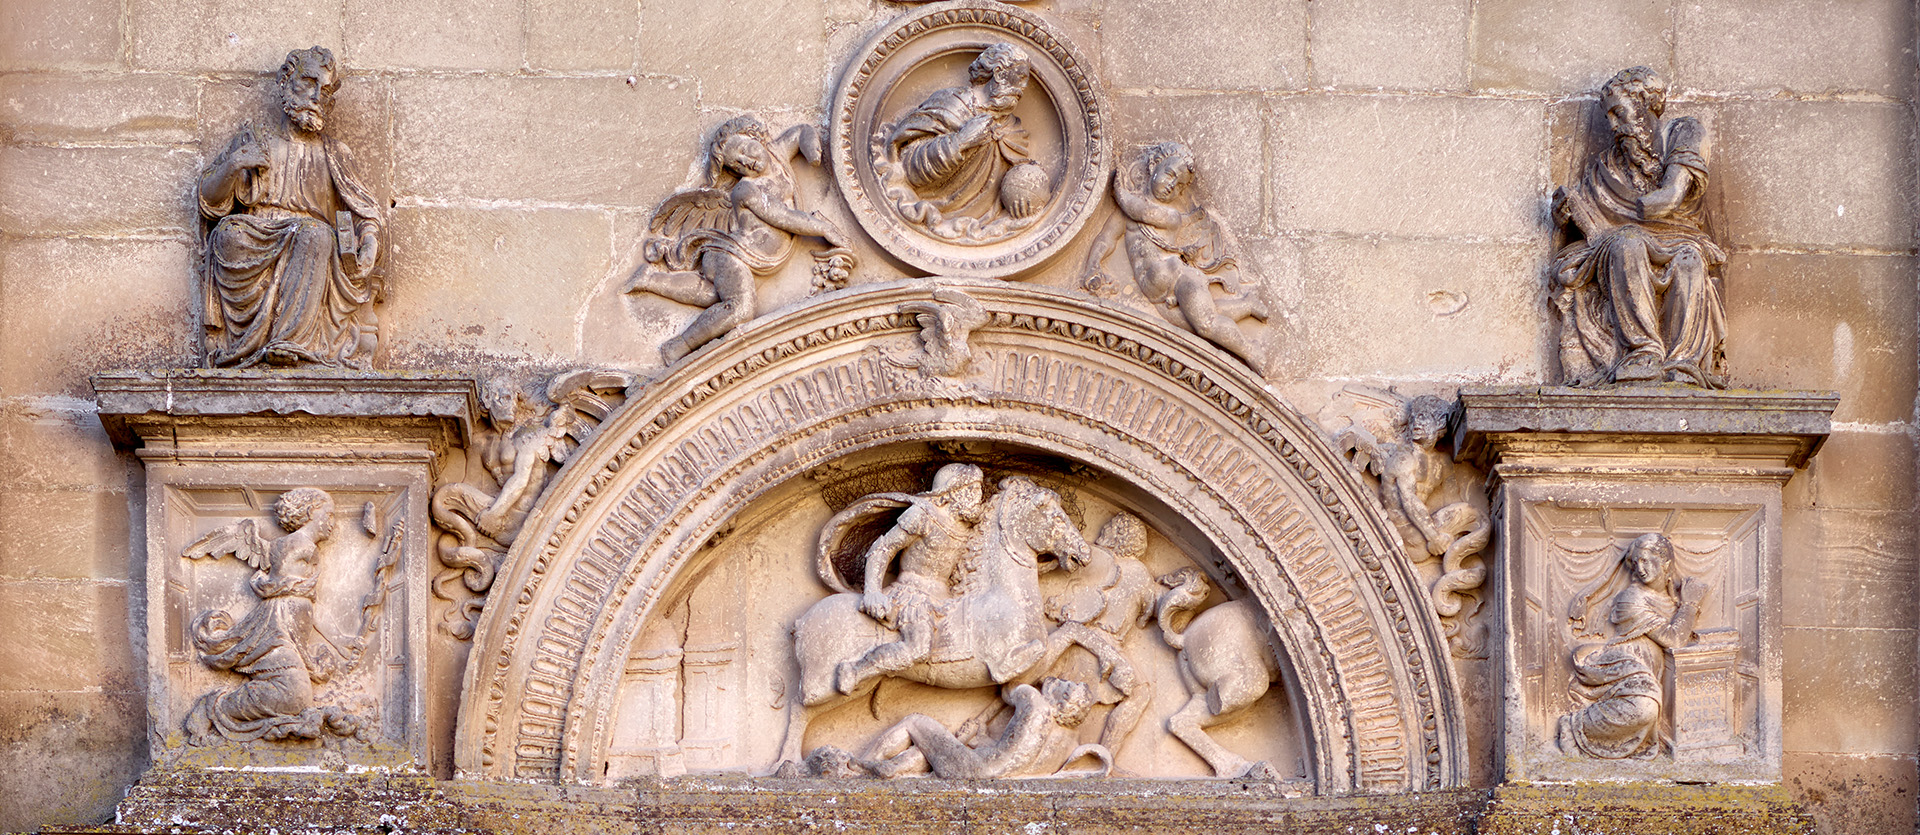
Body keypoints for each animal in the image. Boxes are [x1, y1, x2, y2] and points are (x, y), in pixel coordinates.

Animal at [771, 477, 1090, 771]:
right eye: (1053, 515)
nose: (1083, 554)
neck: (1004, 597)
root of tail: (802, 621)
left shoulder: (1034, 661)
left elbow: (1066, 634)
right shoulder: (1004, 658)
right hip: (823, 682)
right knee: (800, 707)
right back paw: (789, 762)